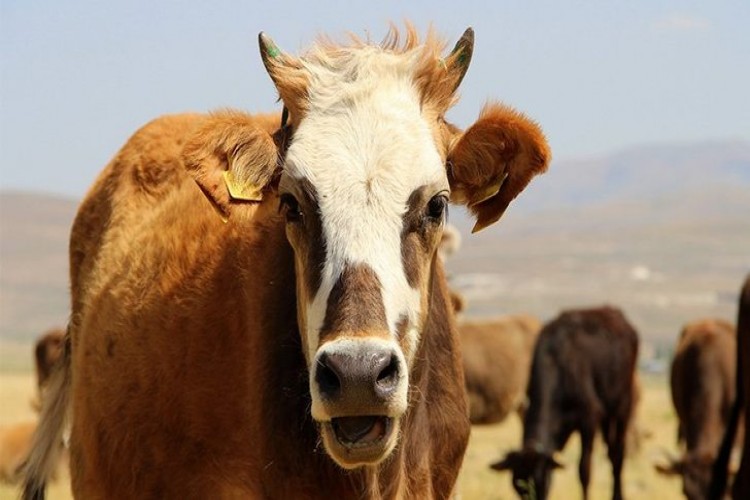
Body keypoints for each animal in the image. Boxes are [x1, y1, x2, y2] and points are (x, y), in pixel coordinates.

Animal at [494, 304, 640, 500]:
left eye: (541, 482)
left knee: (618, 454)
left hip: (622, 407)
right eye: (518, 485)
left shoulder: (589, 419)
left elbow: (584, 470)